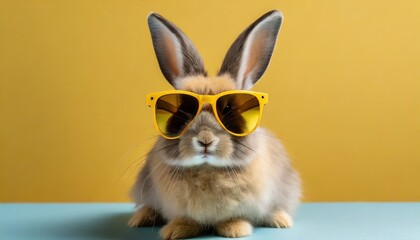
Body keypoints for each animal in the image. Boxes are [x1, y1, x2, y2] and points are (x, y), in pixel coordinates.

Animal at [129, 10, 302, 239]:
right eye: (182, 110)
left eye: (229, 109)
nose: (205, 140)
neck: (207, 169)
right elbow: (185, 218)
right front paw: (175, 230)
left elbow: (235, 217)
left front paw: (235, 229)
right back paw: (140, 218)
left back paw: (280, 219)